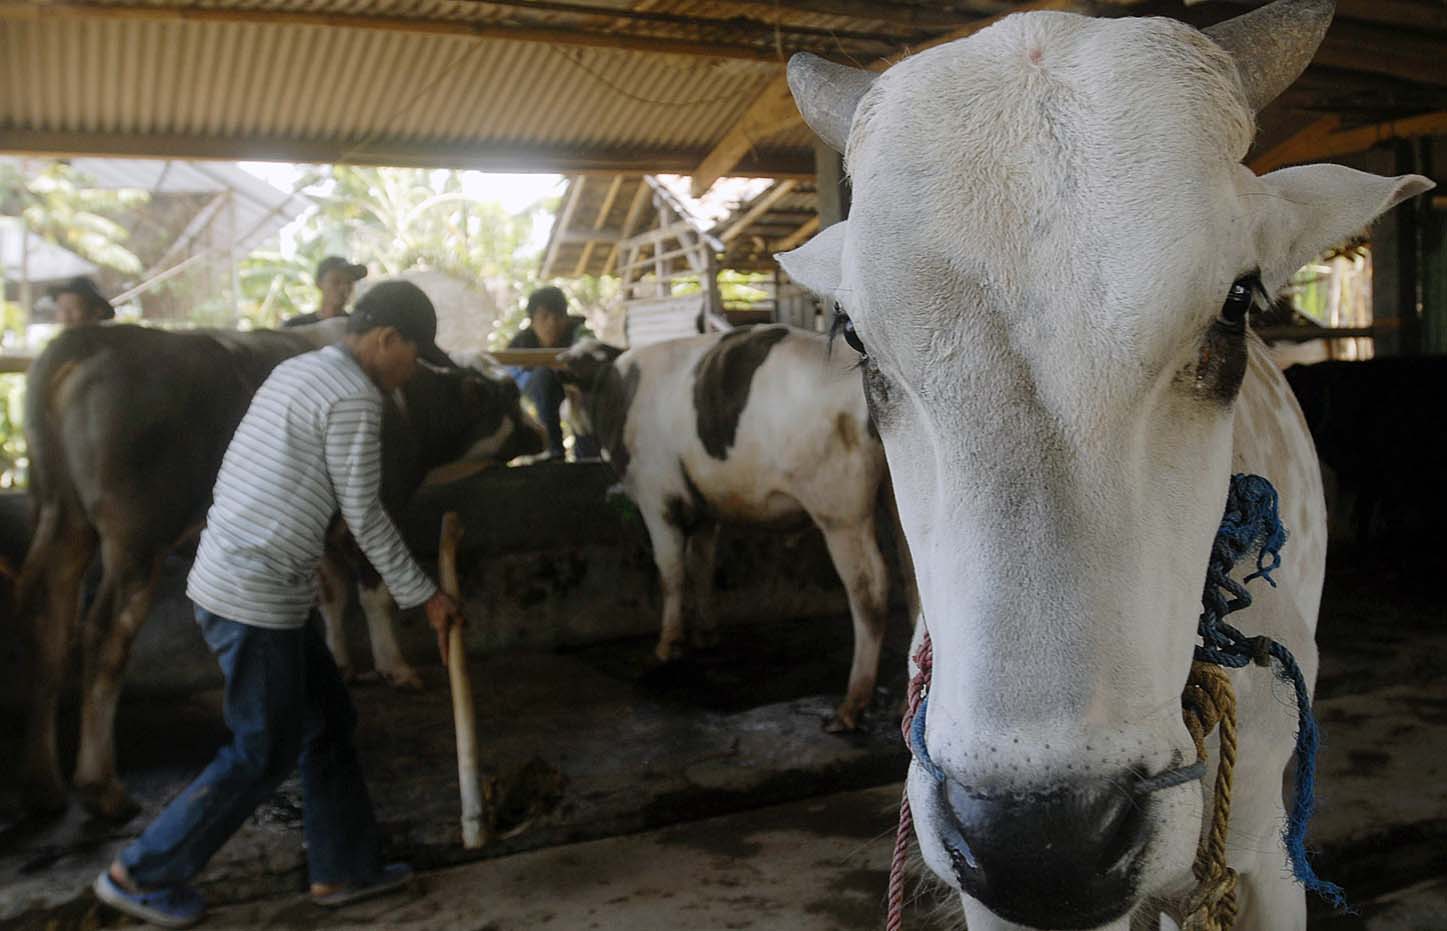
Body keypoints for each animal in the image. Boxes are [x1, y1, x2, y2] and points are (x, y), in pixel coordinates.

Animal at [555, 330, 908, 735]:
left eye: (569, 385)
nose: (569, 422)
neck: (617, 383)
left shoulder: (657, 498)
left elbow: (671, 573)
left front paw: (668, 645)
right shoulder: (706, 509)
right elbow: (702, 565)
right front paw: (705, 634)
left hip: (839, 511)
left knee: (870, 592)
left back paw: (853, 703)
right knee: (916, 584)